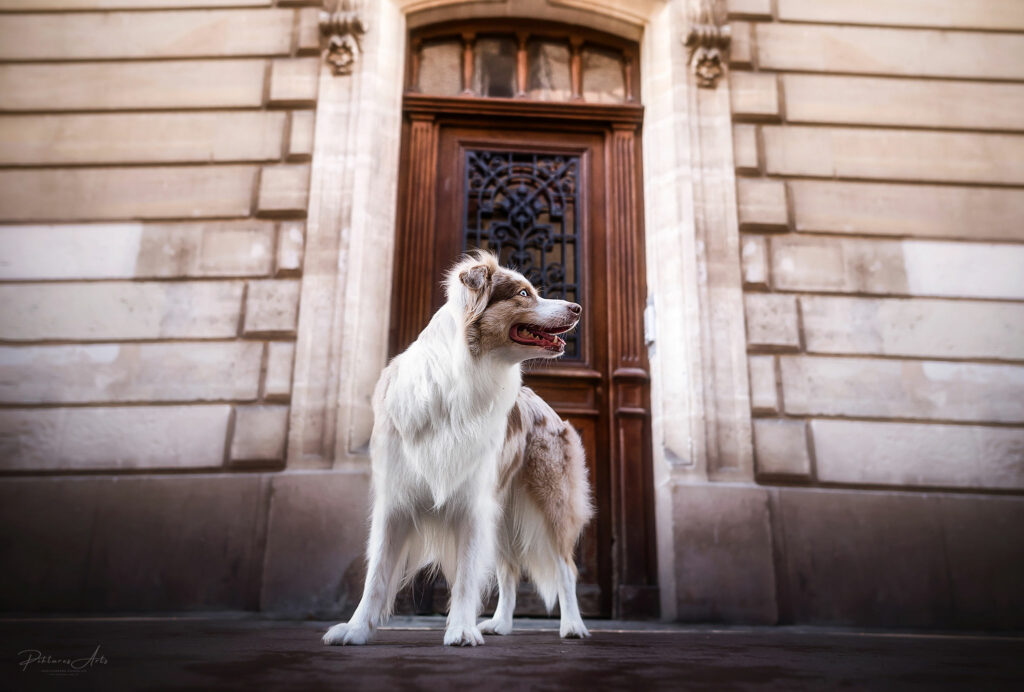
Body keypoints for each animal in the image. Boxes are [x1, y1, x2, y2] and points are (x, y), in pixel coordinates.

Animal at [319, 251, 593, 646]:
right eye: (524, 293)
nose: (577, 307)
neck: (462, 380)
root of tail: (546, 405)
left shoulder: (472, 501)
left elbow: (466, 575)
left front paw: (461, 629)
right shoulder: (396, 499)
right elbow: (377, 575)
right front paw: (356, 629)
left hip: (551, 501)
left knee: (565, 568)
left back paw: (573, 625)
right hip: (502, 510)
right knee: (509, 569)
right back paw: (501, 624)